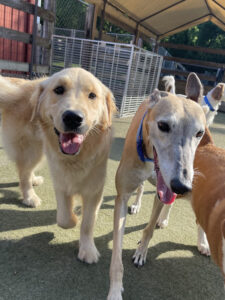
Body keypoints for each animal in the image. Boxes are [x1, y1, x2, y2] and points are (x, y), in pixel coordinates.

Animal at [0, 68, 116, 262]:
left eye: (92, 95)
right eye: (59, 90)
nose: (73, 118)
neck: (75, 158)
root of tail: (23, 86)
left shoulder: (95, 187)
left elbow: (88, 222)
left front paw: (88, 249)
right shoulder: (61, 181)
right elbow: (64, 219)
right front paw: (74, 218)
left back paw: (34, 180)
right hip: (32, 149)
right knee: (23, 172)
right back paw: (29, 196)